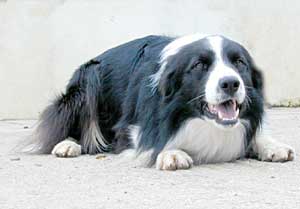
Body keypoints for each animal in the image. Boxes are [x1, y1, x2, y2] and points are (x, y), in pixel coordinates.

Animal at [31, 34, 296, 170]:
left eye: (239, 62)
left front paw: (272, 146)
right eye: (199, 65)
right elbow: (150, 139)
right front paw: (172, 153)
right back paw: (67, 144)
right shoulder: (130, 127)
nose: (230, 83)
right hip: (88, 80)